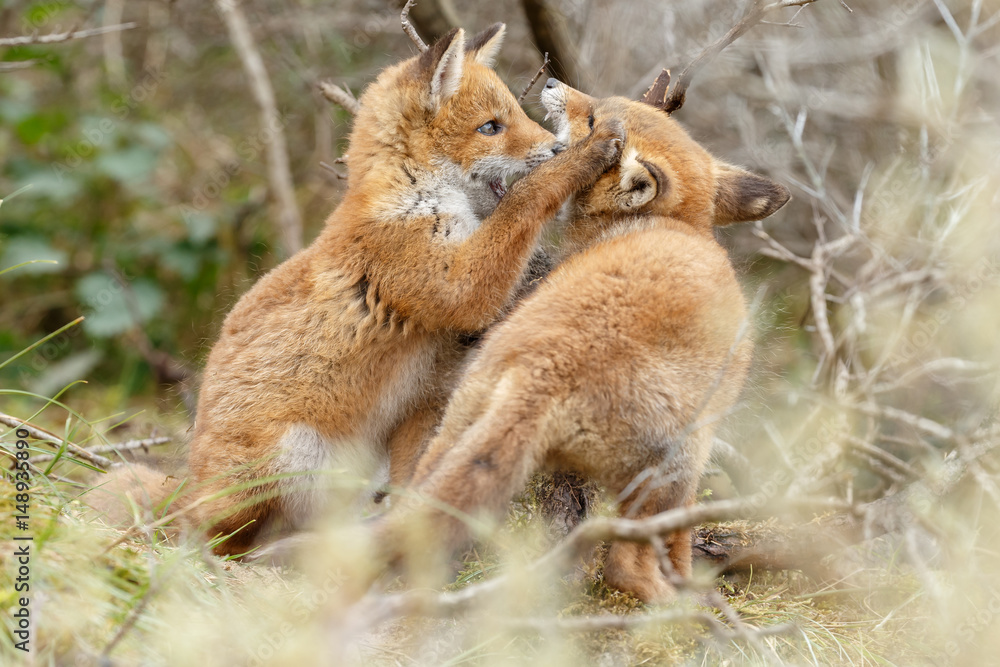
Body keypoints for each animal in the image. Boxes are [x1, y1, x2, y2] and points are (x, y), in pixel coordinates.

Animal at [88, 25, 626, 554]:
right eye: (491, 127)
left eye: (516, 114)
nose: (555, 148)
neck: (413, 197)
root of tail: (188, 484)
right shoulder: (455, 284)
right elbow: (524, 202)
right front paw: (583, 156)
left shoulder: (426, 399)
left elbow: (417, 485)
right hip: (286, 459)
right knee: (209, 539)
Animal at [376, 76, 790, 603]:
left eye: (593, 119)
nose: (554, 82)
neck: (682, 227)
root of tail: (544, 373)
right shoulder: (705, 432)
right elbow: (681, 537)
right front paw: (687, 574)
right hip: (674, 461)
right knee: (622, 566)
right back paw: (677, 606)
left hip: (454, 426)